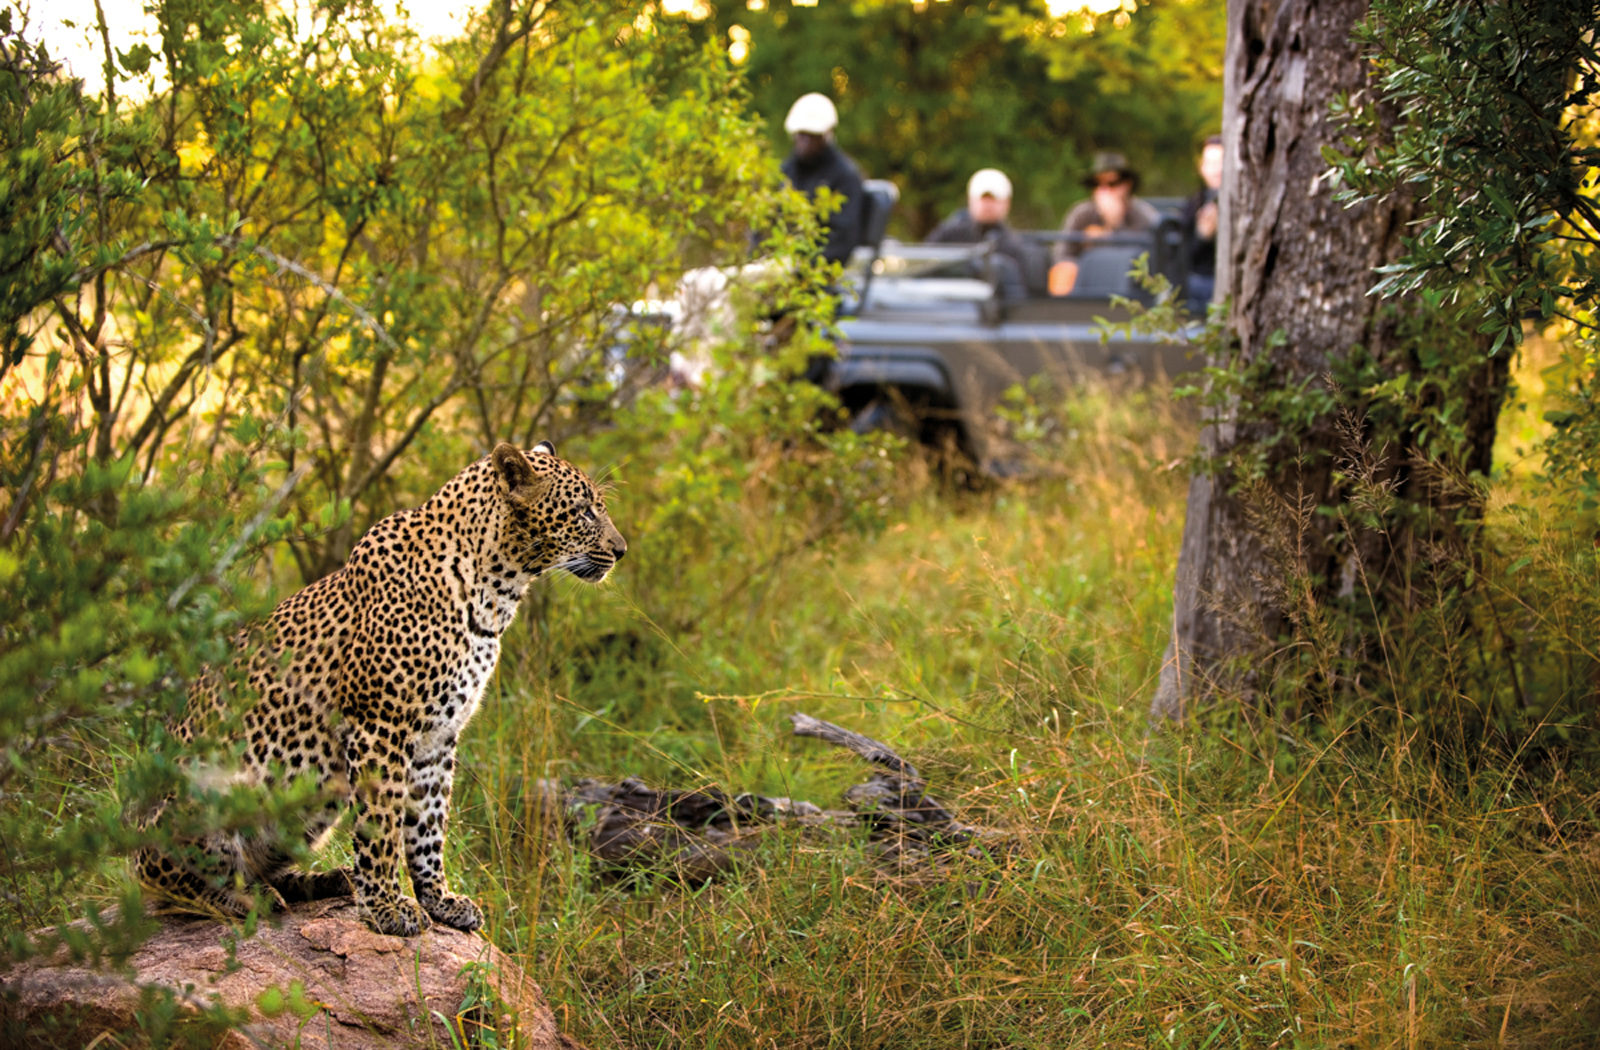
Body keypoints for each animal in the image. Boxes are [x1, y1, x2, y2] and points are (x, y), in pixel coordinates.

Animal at [136, 441, 624, 934]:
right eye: (584, 511)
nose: (621, 551)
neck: (496, 594)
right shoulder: (380, 727)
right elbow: (382, 825)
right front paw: (387, 907)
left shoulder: (438, 739)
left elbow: (427, 826)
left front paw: (438, 900)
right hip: (204, 797)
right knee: (174, 883)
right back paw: (247, 899)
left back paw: (325, 880)